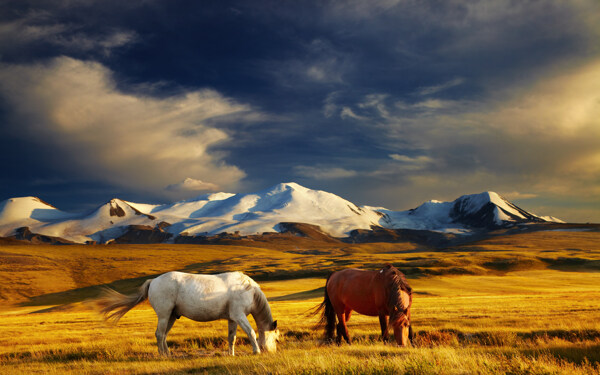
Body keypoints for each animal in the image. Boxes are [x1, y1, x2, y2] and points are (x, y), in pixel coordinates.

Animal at [95, 272, 278, 356]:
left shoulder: (232, 318)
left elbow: (231, 337)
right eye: (276, 339)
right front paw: (256, 351)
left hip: (171, 317)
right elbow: (251, 333)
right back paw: (163, 355)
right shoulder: (240, 316)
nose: (271, 352)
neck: (248, 290)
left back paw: (168, 354)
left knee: (164, 335)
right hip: (164, 315)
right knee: (159, 334)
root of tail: (153, 281)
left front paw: (231, 354)